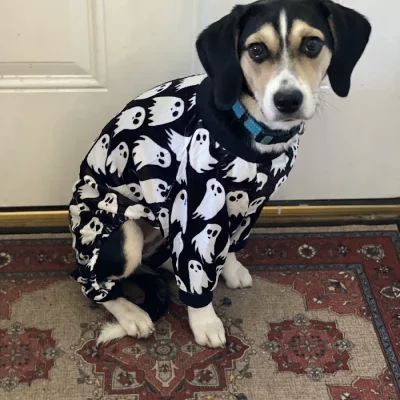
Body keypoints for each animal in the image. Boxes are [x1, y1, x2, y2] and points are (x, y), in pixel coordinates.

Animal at [69, 0, 371, 348]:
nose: (288, 100)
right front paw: (205, 320)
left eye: (312, 44)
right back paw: (132, 314)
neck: (252, 126)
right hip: (120, 229)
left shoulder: (251, 203)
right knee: (90, 279)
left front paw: (231, 270)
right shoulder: (195, 206)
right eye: (256, 49)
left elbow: (230, 245)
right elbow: (196, 270)